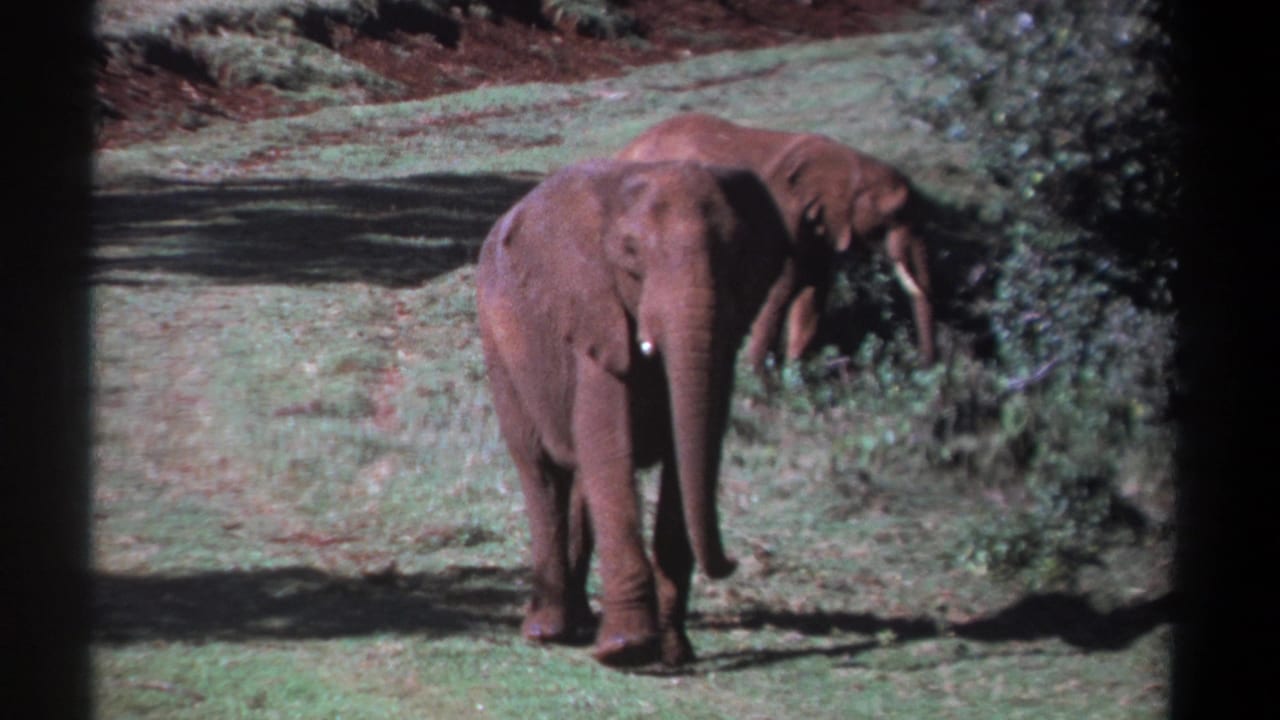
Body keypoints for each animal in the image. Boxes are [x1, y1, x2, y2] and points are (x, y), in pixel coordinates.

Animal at [476, 158, 796, 667]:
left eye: (736, 252)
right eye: (630, 254)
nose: (733, 562)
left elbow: (688, 453)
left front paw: (673, 651)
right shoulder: (595, 314)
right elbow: (607, 444)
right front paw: (627, 650)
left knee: (578, 475)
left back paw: (581, 624)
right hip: (500, 348)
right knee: (540, 470)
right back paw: (546, 631)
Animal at [617, 112, 935, 369]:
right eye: (894, 214)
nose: (925, 365)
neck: (846, 162)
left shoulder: (818, 229)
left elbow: (813, 293)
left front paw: (797, 374)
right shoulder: (784, 219)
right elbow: (779, 290)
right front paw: (760, 381)